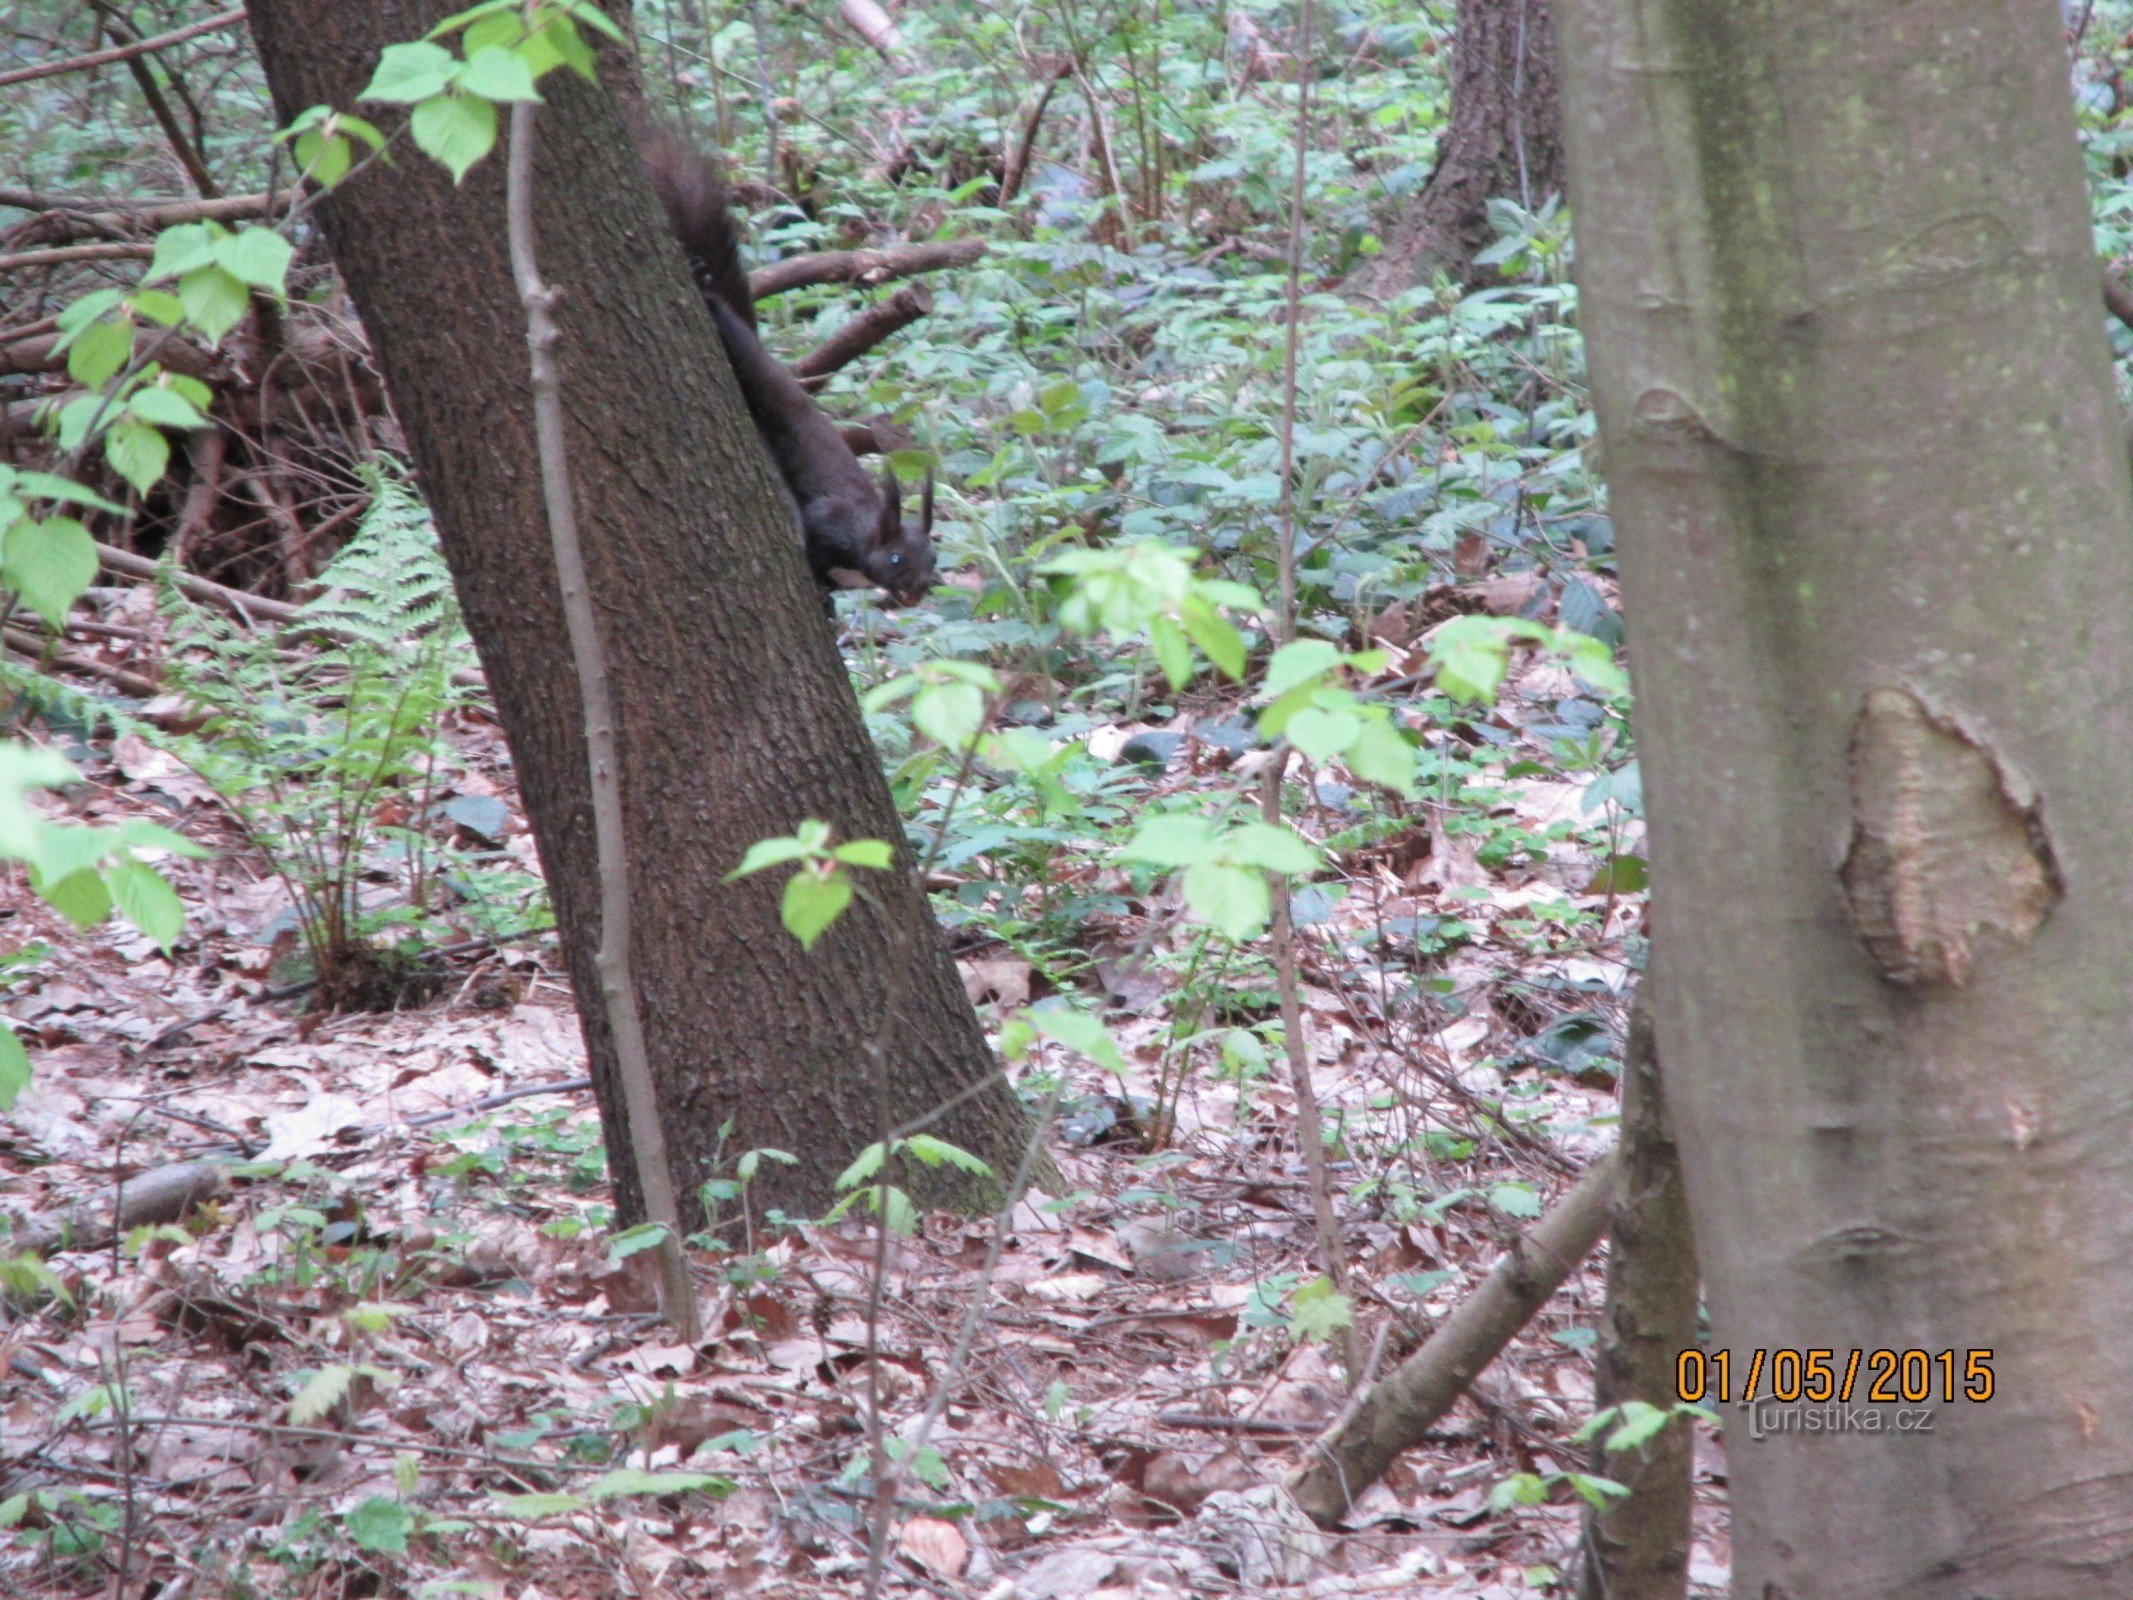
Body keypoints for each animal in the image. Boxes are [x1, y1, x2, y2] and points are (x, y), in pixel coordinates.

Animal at [631, 130, 934, 605]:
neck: (866, 522)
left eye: (934, 558)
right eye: (896, 557)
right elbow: (815, 548)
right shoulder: (828, 520)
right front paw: (824, 592)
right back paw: (702, 284)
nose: (919, 588)